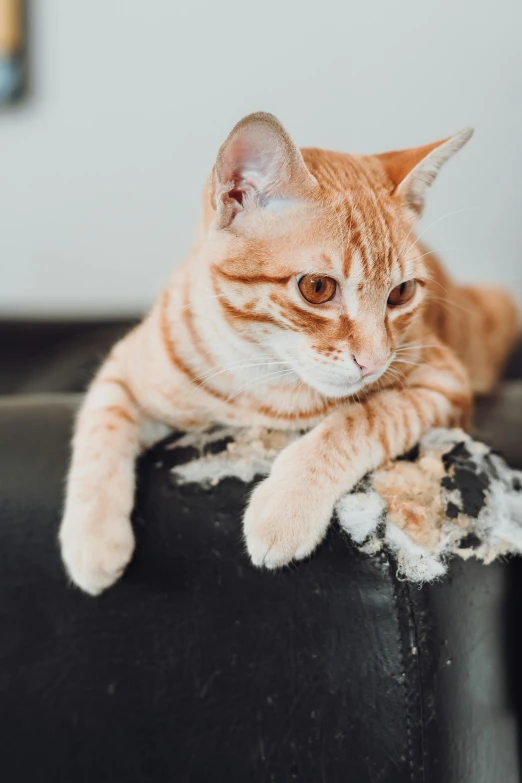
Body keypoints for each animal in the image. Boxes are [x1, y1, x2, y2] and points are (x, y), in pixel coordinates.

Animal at [58, 113, 516, 596]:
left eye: (402, 293)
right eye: (317, 287)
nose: (375, 362)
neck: (261, 375)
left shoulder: (444, 383)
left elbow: (359, 419)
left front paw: (285, 507)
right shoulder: (124, 368)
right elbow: (101, 430)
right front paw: (92, 540)